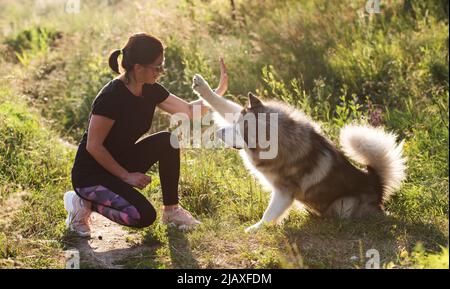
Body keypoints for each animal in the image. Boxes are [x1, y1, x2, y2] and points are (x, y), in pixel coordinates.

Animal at [192, 74, 406, 232]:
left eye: (239, 132)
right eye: (235, 124)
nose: (219, 132)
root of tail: (376, 182)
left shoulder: (284, 192)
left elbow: (269, 214)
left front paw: (255, 229)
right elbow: (223, 105)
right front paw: (204, 88)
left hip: (344, 204)